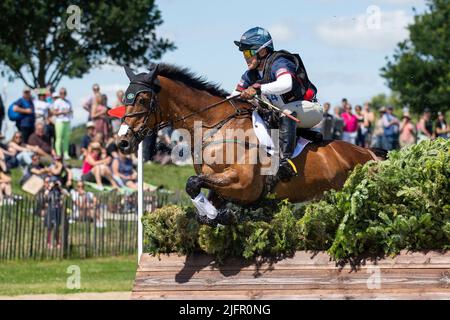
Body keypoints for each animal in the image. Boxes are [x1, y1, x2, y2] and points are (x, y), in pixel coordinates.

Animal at [111, 63, 384, 225]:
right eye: (125, 99)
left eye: (142, 99)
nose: (123, 142)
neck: (215, 126)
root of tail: (367, 152)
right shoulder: (219, 187)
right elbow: (198, 192)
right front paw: (216, 216)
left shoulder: (243, 184)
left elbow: (192, 183)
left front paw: (223, 216)